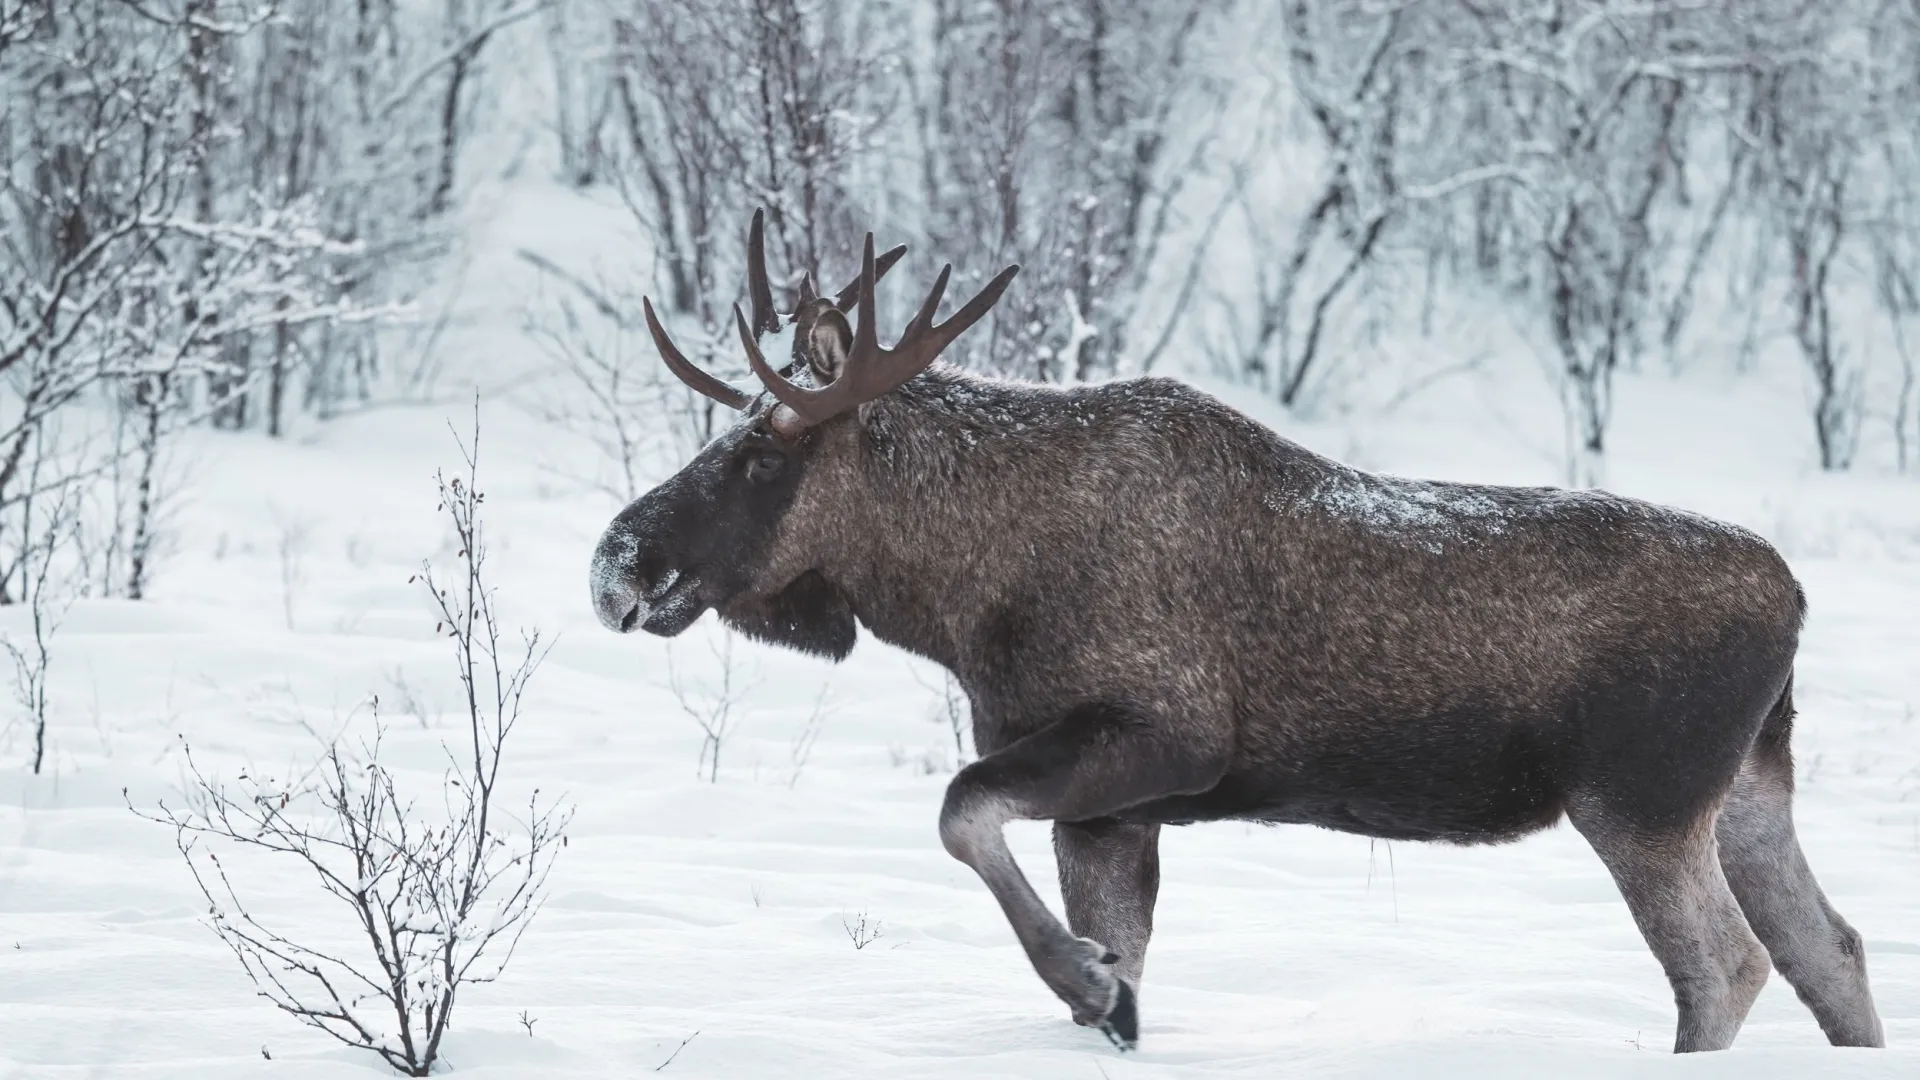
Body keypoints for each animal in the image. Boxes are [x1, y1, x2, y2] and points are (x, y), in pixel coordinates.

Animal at [579, 210, 1873, 1053]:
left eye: (760, 458)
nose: (616, 565)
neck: (959, 599)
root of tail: (1798, 603)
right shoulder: (1111, 810)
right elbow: (1089, 936)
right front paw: (1105, 991)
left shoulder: (1164, 739)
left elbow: (959, 812)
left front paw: (1087, 980)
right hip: (1748, 791)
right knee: (1835, 952)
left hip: (1640, 799)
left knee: (1727, 970)